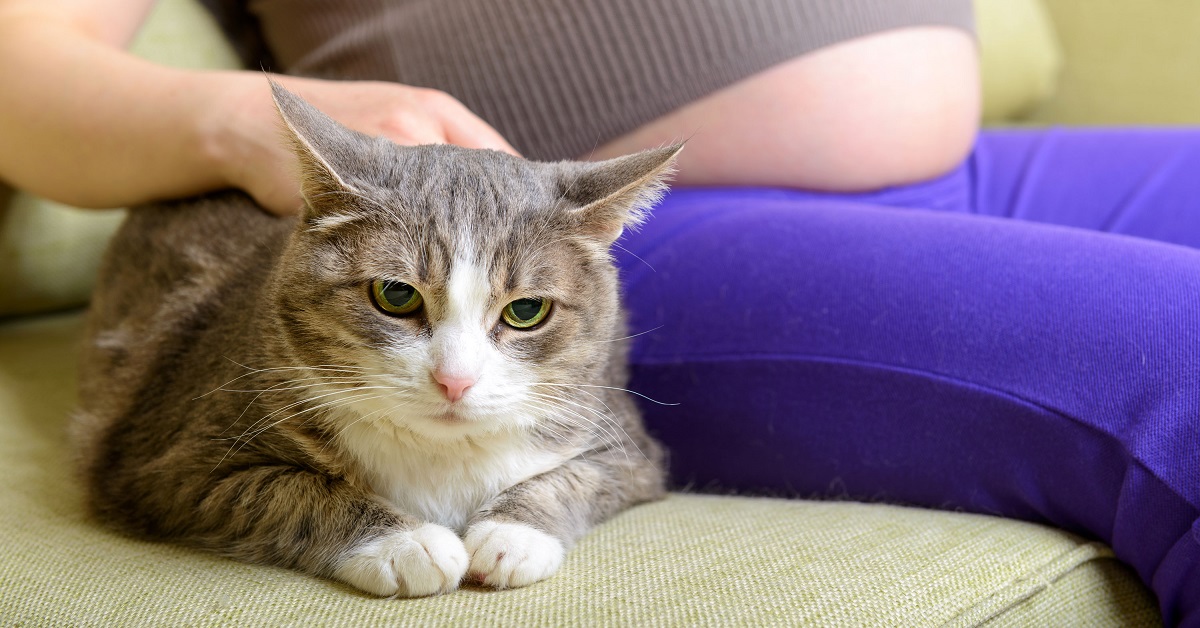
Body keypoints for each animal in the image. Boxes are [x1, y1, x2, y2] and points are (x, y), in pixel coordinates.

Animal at [70, 83, 676, 600]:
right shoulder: (166, 459)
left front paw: (512, 533)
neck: (438, 456)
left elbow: (580, 477)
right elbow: (284, 490)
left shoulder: (622, 437)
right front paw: (405, 543)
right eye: (396, 295)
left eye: (526, 310)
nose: (455, 380)